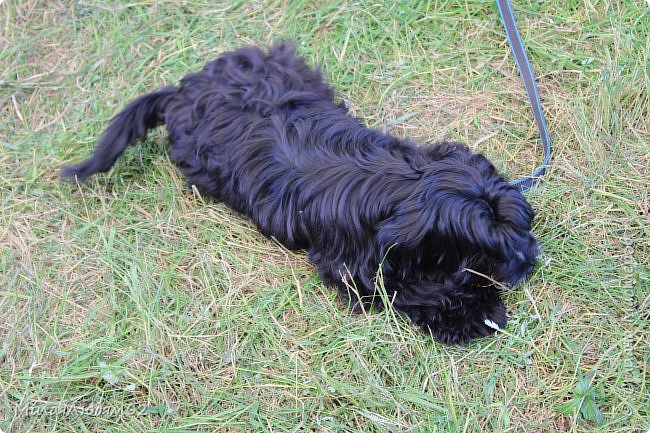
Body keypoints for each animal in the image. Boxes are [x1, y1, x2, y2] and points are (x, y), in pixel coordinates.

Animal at [62, 42, 536, 342]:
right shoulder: (355, 266)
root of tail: (182, 90)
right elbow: (414, 290)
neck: (400, 188)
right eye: (485, 247)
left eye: (521, 225)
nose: (530, 262)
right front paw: (474, 312)